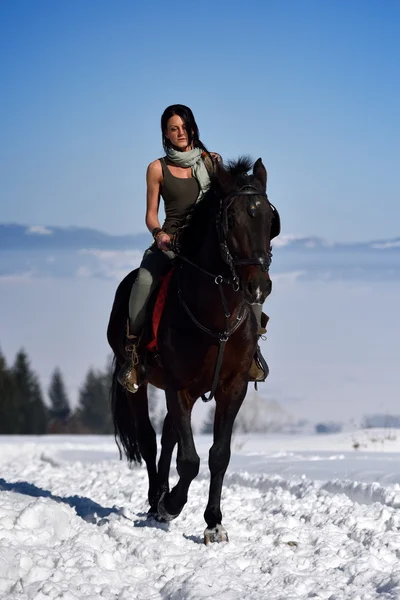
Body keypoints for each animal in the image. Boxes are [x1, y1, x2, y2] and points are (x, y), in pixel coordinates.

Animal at [106, 157, 278, 548]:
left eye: (270, 220)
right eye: (232, 219)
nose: (259, 286)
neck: (218, 313)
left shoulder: (233, 388)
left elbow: (218, 455)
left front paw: (214, 523)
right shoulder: (178, 386)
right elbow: (189, 460)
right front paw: (171, 504)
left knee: (168, 435)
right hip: (138, 383)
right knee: (150, 440)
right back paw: (156, 500)